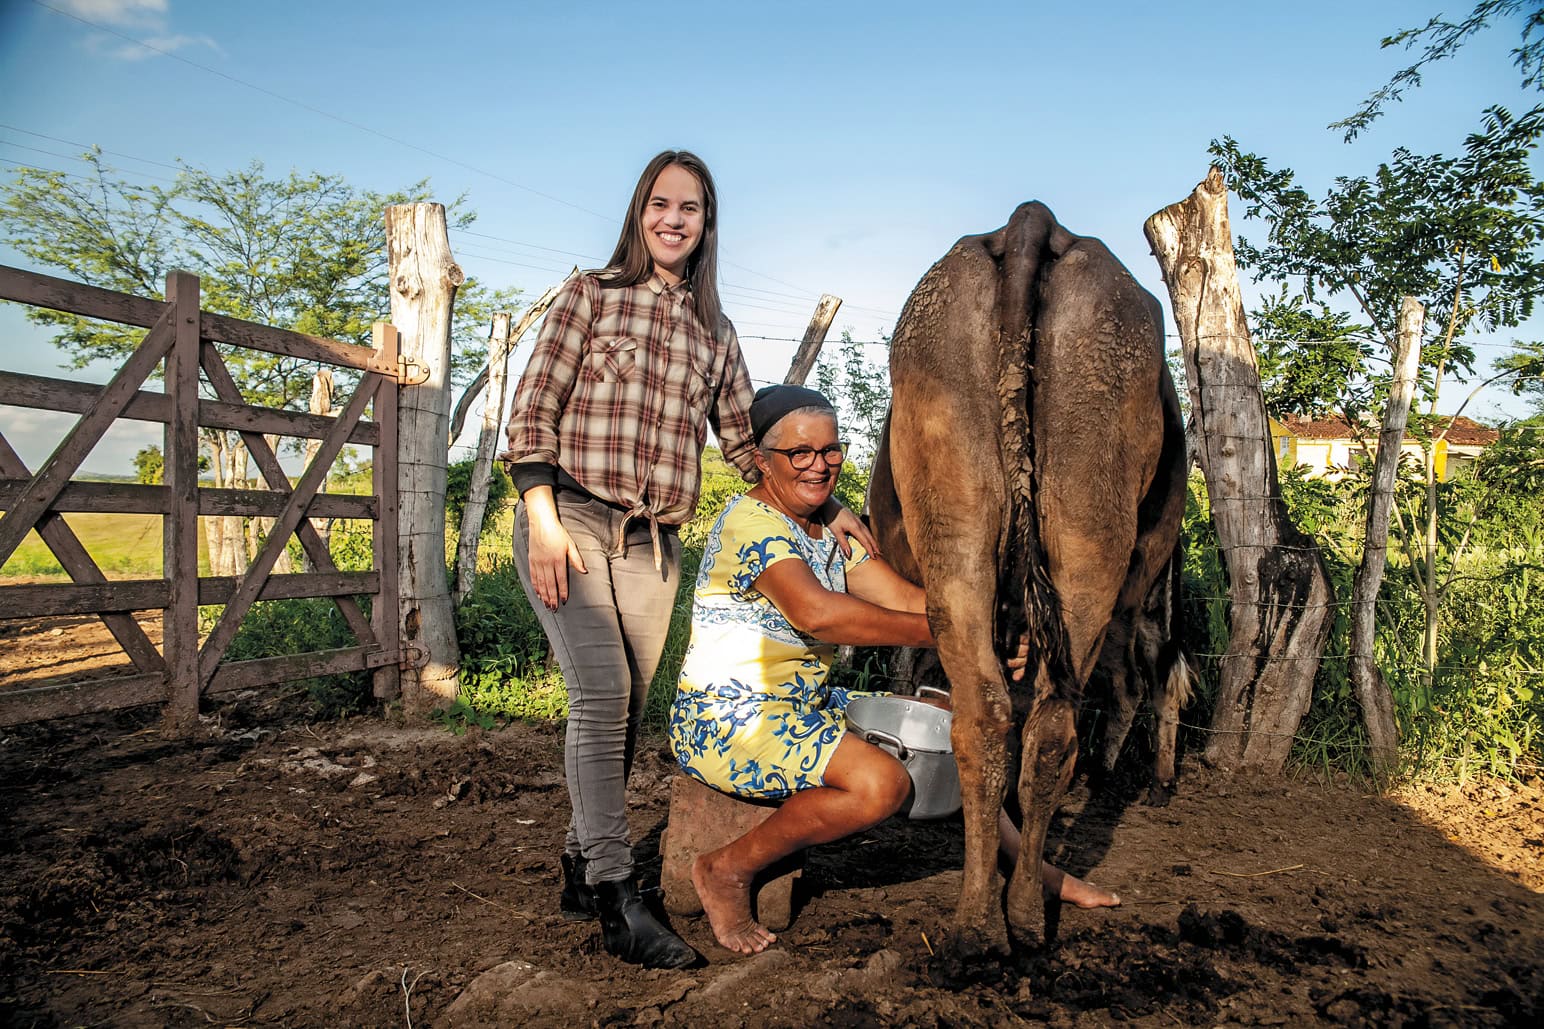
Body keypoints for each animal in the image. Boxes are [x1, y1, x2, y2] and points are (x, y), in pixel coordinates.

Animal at [870, 200, 1179, 951]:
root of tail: (1031, 220)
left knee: (992, 715)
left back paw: (983, 922)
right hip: (1084, 542)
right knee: (1045, 725)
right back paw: (1017, 916)